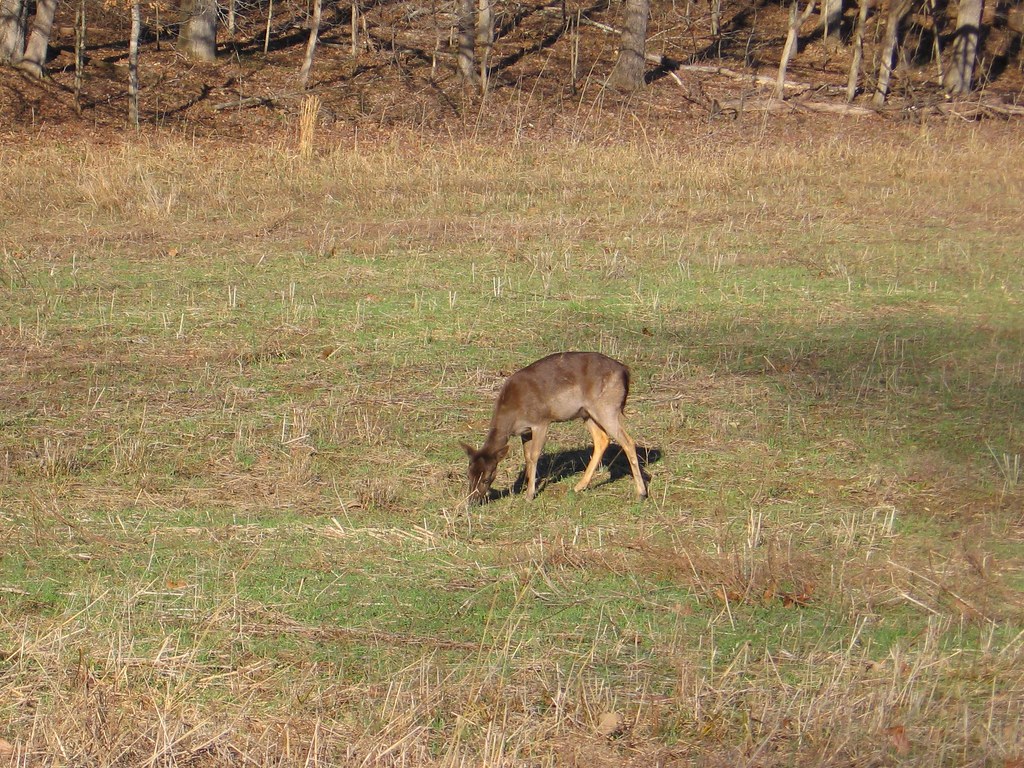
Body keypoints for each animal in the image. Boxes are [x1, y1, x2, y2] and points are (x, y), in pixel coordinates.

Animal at [461, 352, 648, 505]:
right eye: (468, 474)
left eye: (487, 478)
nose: (472, 501)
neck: (512, 414)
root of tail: (625, 371)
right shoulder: (525, 431)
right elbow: (527, 456)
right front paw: (527, 485)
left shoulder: (541, 421)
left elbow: (534, 455)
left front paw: (529, 494)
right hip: (587, 413)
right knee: (602, 439)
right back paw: (579, 486)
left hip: (607, 407)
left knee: (627, 441)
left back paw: (641, 493)